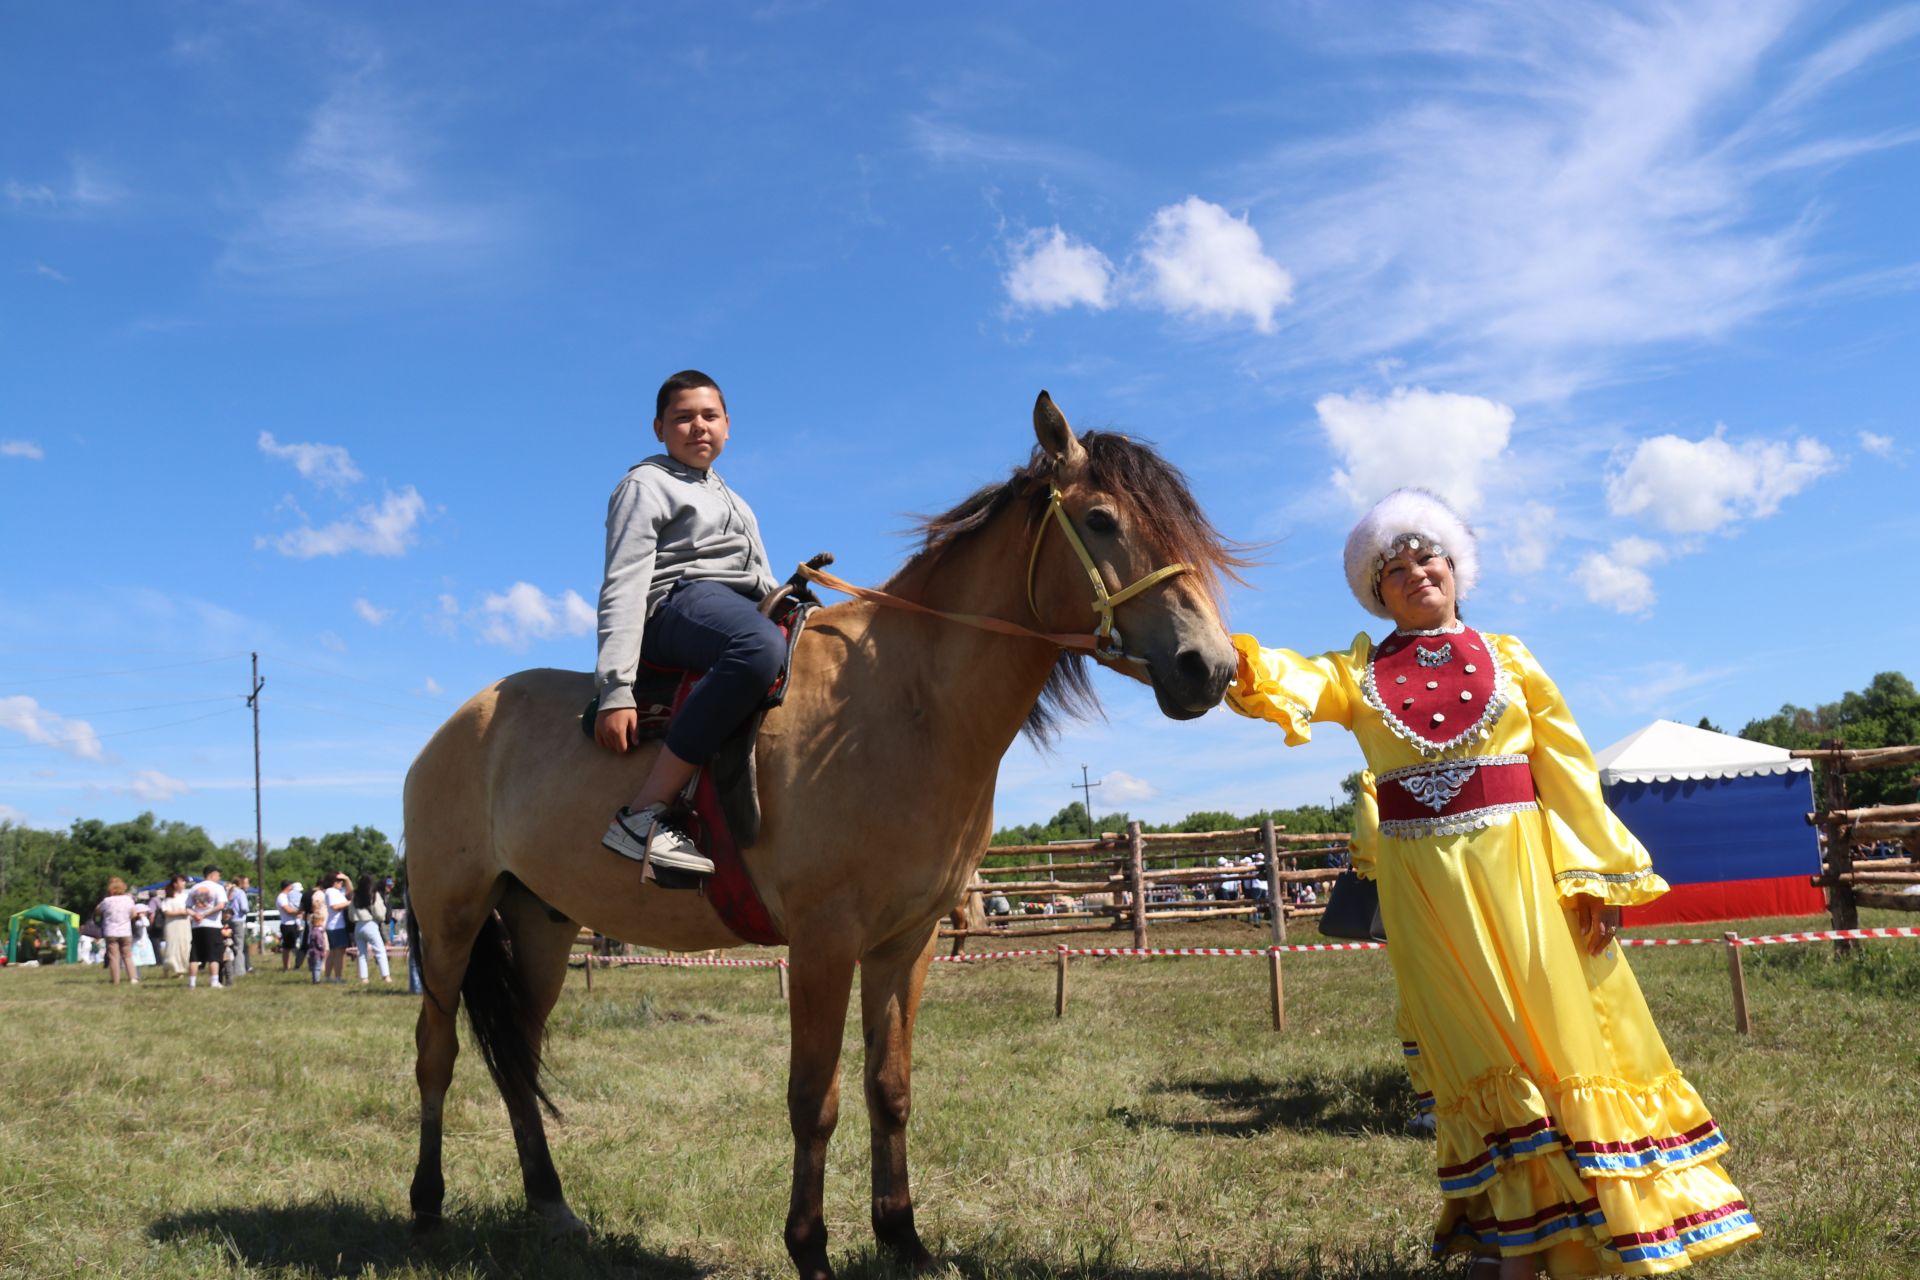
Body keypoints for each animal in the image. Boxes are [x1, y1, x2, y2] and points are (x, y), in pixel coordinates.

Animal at [405, 393, 1244, 1280]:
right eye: (1101, 519)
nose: (1211, 666)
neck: (907, 702)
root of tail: (455, 728)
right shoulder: (822, 942)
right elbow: (814, 1099)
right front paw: (810, 1249)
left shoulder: (904, 943)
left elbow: (889, 1088)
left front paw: (903, 1237)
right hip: (453, 921)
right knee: (437, 1053)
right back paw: (425, 1208)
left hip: (541, 923)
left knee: (519, 1056)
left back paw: (550, 1203)